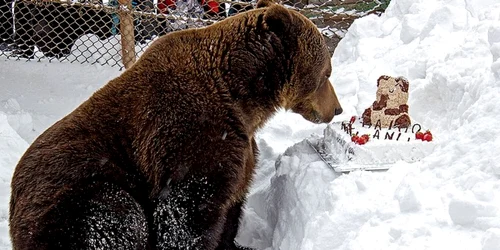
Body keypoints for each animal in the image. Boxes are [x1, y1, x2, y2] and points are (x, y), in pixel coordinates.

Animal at [8, 0, 344, 249]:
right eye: (327, 72)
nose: (337, 109)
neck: (243, 97)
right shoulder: (188, 132)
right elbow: (187, 212)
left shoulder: (240, 144)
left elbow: (232, 202)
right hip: (69, 199)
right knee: (113, 217)